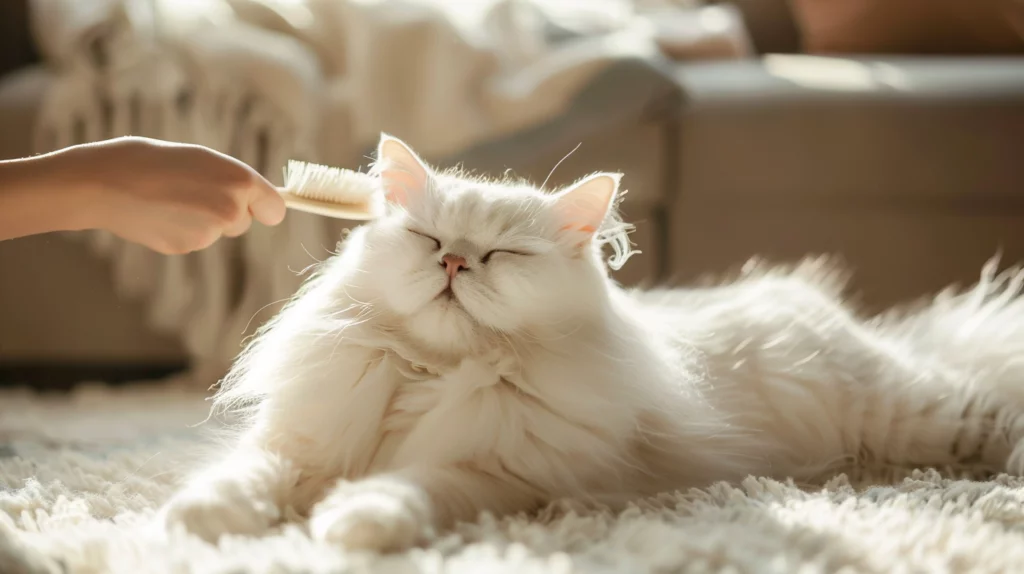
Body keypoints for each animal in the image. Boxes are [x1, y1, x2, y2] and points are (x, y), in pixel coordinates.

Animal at [157, 133, 1024, 552]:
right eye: (429, 239)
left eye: (503, 255)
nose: (455, 261)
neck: (435, 372)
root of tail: (817, 308)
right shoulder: (301, 442)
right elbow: (246, 477)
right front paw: (199, 521)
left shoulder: (500, 472)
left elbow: (410, 485)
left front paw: (354, 524)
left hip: (910, 414)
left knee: (992, 416)